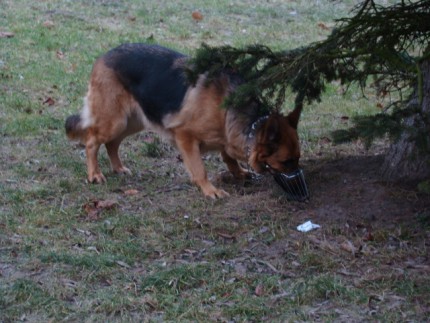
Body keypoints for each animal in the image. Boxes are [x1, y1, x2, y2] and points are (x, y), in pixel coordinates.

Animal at [65, 43, 300, 197]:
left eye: (298, 158)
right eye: (286, 161)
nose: (301, 190)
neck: (228, 109)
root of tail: (104, 55)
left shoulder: (224, 136)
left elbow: (228, 156)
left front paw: (238, 172)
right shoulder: (185, 137)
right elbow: (199, 169)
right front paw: (209, 190)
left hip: (132, 121)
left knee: (112, 144)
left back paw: (118, 168)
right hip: (114, 122)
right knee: (91, 141)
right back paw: (94, 174)